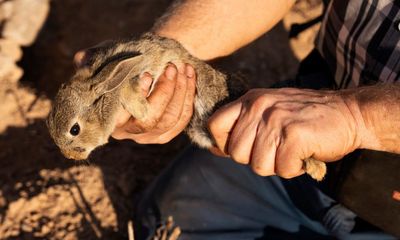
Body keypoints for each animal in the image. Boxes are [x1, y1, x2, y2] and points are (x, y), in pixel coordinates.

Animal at [47, 32, 328, 181]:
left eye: (74, 129)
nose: (71, 157)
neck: (105, 88)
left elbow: (131, 91)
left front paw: (143, 111)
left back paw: (318, 169)